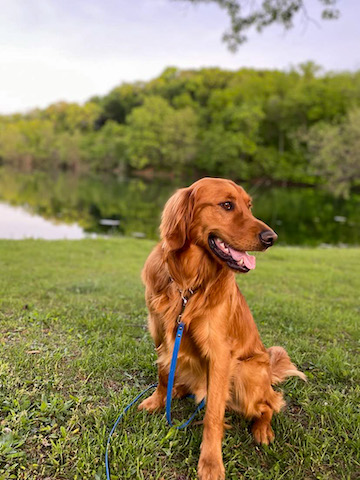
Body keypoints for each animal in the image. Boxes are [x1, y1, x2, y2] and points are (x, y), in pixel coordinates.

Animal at [139, 177, 306, 480]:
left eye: (249, 206)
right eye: (227, 205)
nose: (271, 238)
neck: (188, 282)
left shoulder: (219, 355)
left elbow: (213, 415)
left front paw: (210, 463)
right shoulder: (161, 335)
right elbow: (162, 373)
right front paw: (158, 401)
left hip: (247, 373)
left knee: (270, 403)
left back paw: (262, 430)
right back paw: (178, 390)